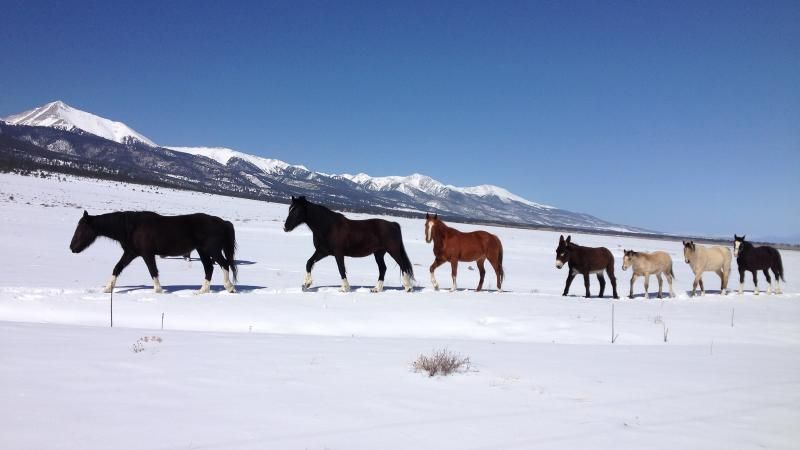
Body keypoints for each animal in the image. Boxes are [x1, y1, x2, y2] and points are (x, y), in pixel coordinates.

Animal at [70, 210, 237, 294]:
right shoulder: (130, 253)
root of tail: (223, 222)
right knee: (209, 268)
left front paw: (158, 290)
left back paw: (229, 287)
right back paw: (202, 291)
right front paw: (107, 289)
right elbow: (117, 268)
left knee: (224, 265)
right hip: (202, 251)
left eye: (81, 230)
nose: (72, 248)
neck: (132, 227)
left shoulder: (147, 254)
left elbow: (153, 271)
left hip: (212, 250)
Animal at [283, 196, 414, 293]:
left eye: (296, 210)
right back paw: (376, 289)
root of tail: (393, 224)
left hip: (393, 250)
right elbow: (309, 263)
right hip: (379, 253)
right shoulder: (322, 252)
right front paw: (306, 284)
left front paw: (345, 288)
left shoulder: (338, 253)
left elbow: (341, 269)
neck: (328, 227)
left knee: (402, 266)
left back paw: (408, 288)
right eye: (289, 209)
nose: (285, 227)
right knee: (383, 269)